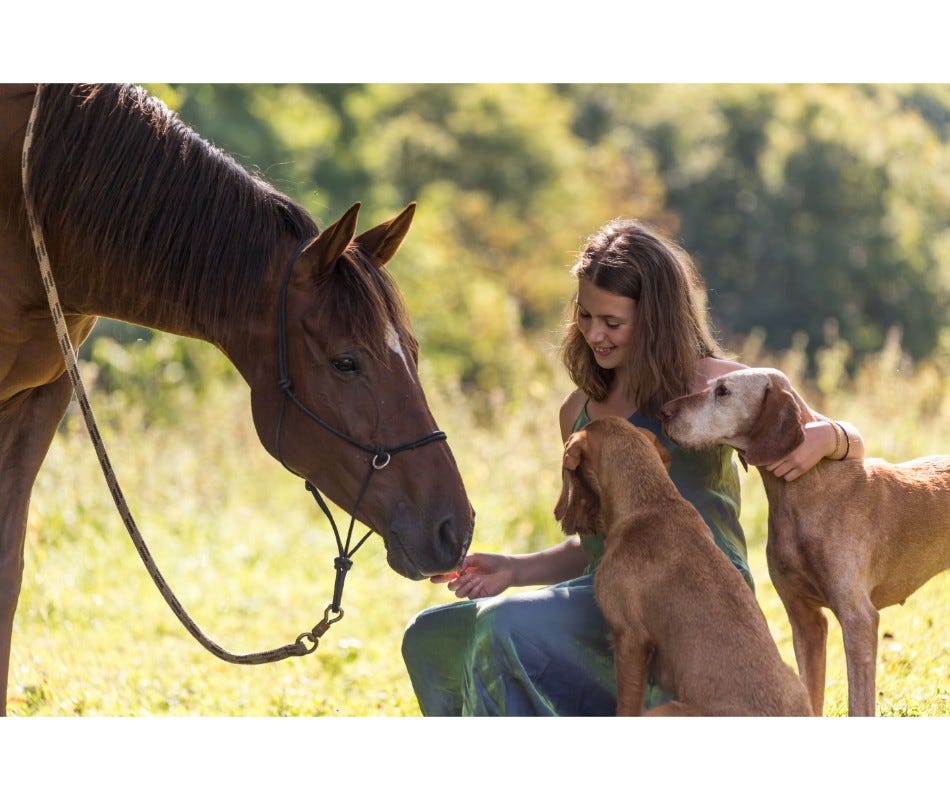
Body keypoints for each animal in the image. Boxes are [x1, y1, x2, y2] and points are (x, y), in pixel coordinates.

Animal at [660, 366, 950, 716]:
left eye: (723, 391)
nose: (664, 411)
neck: (804, 491)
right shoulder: (805, 618)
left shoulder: (858, 619)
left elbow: (859, 704)